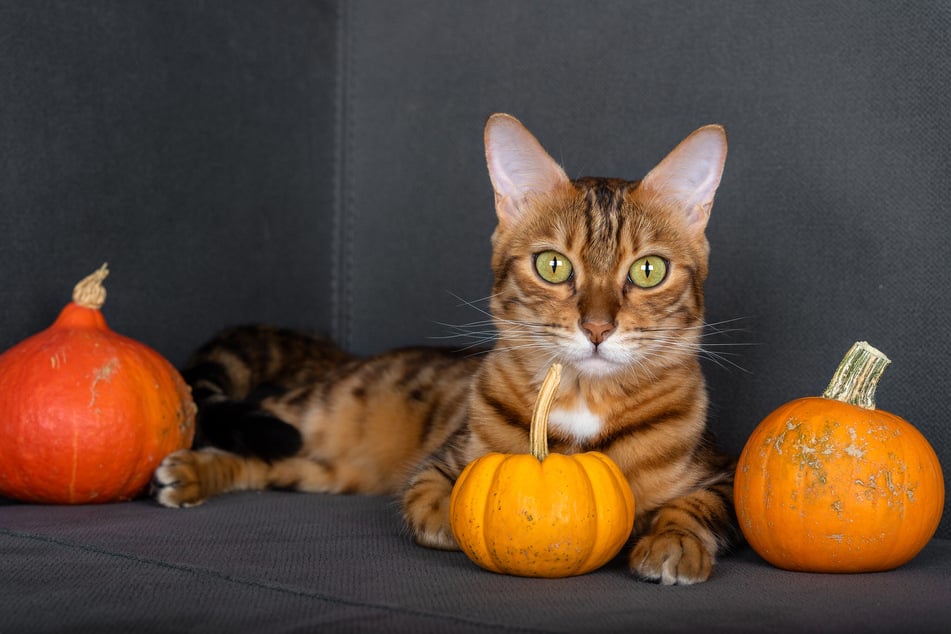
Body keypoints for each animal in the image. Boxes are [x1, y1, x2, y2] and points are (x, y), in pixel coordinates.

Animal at [152, 113, 740, 584]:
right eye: (553, 265)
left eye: (649, 270)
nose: (597, 327)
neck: (579, 401)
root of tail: (346, 358)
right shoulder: (444, 456)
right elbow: (429, 489)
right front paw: (446, 517)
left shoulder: (723, 475)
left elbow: (695, 506)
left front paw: (672, 543)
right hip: (313, 415)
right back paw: (187, 469)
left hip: (320, 468)